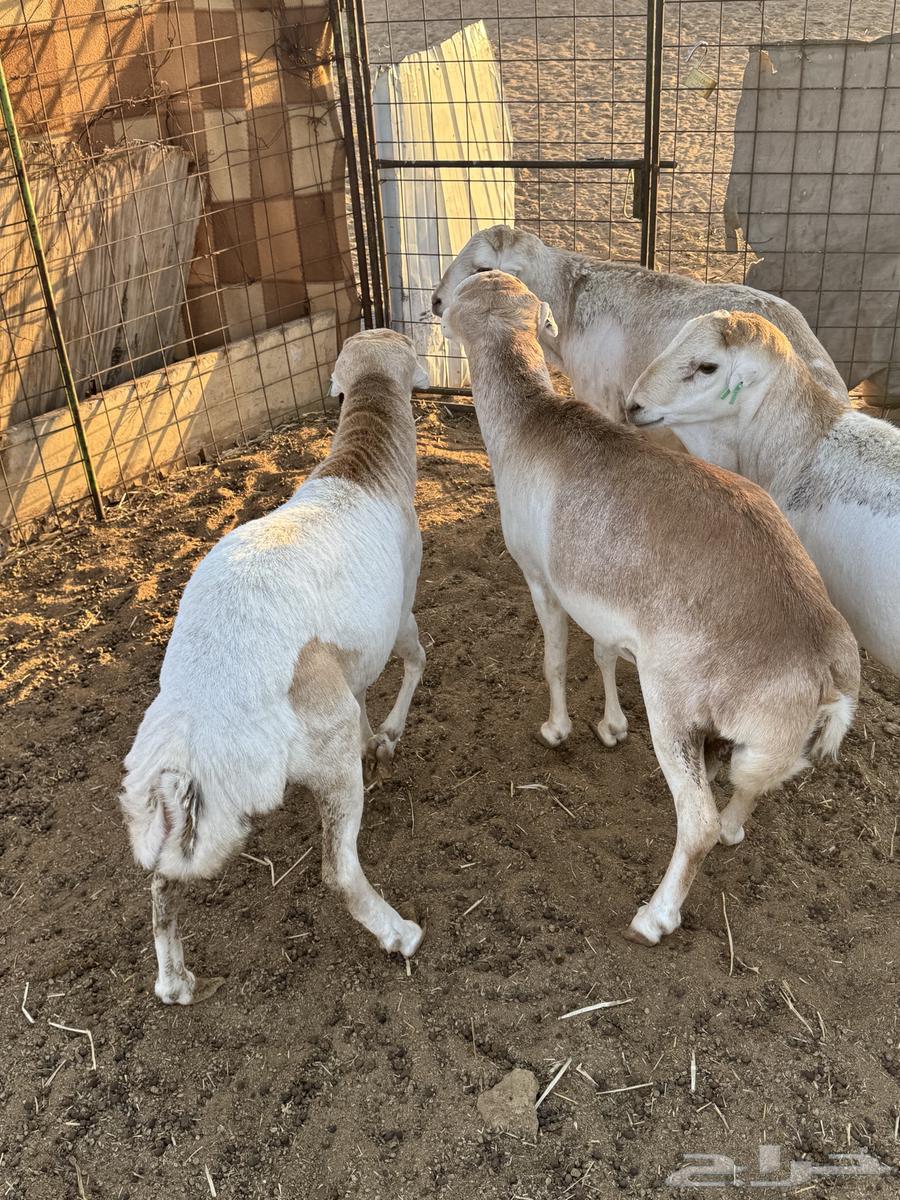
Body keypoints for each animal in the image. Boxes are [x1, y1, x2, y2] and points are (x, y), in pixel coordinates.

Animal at [120, 328, 430, 1004]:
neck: (360, 465)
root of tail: (198, 724)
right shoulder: (398, 613)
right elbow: (416, 659)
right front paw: (388, 738)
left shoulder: (350, 657)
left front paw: (376, 737)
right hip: (323, 746)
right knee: (337, 868)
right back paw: (400, 933)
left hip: (195, 813)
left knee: (161, 881)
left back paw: (175, 981)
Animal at [442, 270, 859, 945]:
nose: (434, 302)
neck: (533, 427)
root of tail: (824, 651)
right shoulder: (605, 608)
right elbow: (603, 653)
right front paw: (611, 726)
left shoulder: (542, 584)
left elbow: (556, 659)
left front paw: (557, 730)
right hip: (761, 745)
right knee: (746, 794)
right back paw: (736, 828)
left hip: (673, 713)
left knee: (699, 823)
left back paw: (654, 918)